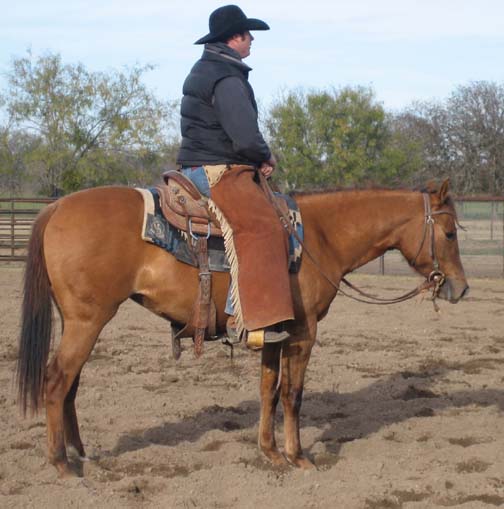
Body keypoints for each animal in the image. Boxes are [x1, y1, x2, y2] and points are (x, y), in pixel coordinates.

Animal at [16, 177, 468, 474]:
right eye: (448, 232)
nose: (461, 288)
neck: (318, 237)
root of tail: (57, 207)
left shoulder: (274, 333)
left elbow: (268, 390)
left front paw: (270, 451)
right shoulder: (304, 333)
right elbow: (293, 395)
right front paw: (298, 456)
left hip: (78, 322)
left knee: (70, 385)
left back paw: (81, 453)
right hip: (87, 321)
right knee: (56, 381)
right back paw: (62, 464)